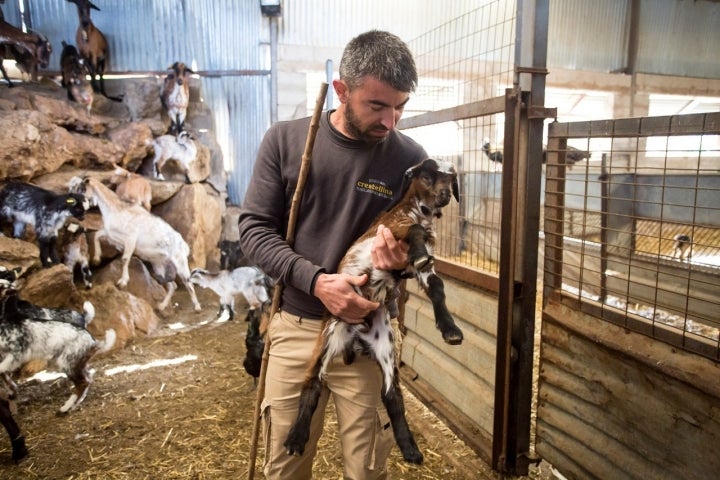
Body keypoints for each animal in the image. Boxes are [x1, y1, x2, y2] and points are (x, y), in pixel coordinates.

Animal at [284, 158, 464, 464]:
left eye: (451, 179)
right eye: (427, 176)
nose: (445, 196)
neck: (419, 212)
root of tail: (356, 336)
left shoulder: (418, 268)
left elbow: (438, 287)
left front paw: (450, 329)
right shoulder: (391, 230)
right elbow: (414, 233)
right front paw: (418, 252)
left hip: (386, 346)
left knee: (392, 395)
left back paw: (410, 448)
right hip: (329, 334)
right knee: (312, 383)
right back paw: (296, 438)